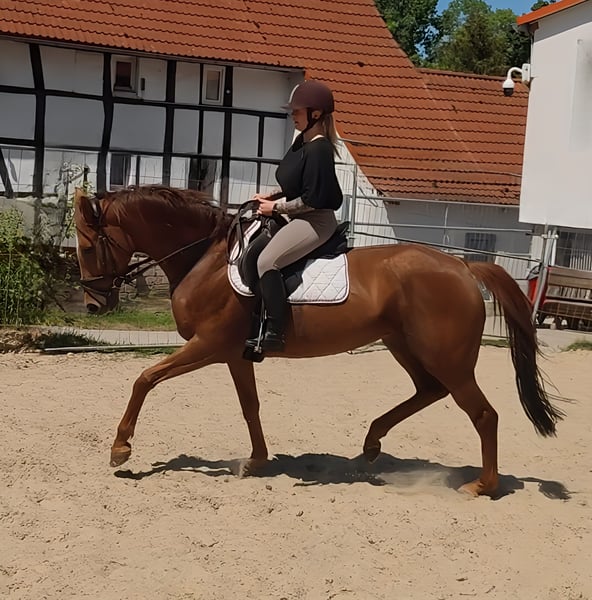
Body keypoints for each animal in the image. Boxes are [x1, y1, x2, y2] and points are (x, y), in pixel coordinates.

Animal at [73, 185, 563, 497]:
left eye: (87, 247)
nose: (94, 305)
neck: (205, 259)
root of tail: (463, 267)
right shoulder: (234, 354)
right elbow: (250, 406)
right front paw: (255, 460)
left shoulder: (207, 345)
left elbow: (145, 378)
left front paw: (120, 449)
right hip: (405, 345)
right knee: (428, 391)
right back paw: (371, 444)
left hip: (448, 358)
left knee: (483, 414)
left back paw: (481, 485)